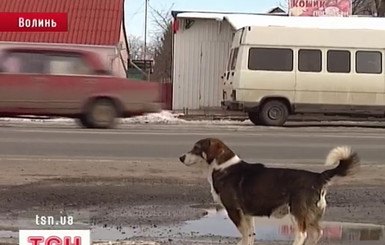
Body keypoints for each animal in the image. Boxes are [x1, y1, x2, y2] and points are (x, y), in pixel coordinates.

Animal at [178, 138, 358, 245]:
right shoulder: (246, 213)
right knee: (317, 233)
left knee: (302, 234)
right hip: (312, 214)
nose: (180, 158)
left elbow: (244, 233)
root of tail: (318, 177)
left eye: (196, 148)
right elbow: (249, 234)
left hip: (297, 212)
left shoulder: (233, 210)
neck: (223, 167)